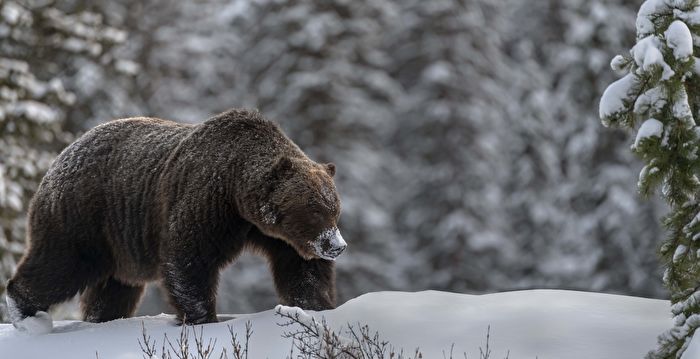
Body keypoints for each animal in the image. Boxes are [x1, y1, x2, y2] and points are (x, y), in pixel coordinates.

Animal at [5, 107, 344, 332]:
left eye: (335, 208)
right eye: (314, 208)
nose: (337, 245)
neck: (236, 190)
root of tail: (59, 158)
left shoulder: (274, 234)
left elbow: (301, 268)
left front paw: (316, 307)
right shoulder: (205, 201)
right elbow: (189, 258)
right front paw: (202, 318)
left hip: (118, 243)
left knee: (114, 289)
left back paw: (104, 319)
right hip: (83, 216)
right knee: (61, 264)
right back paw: (26, 314)